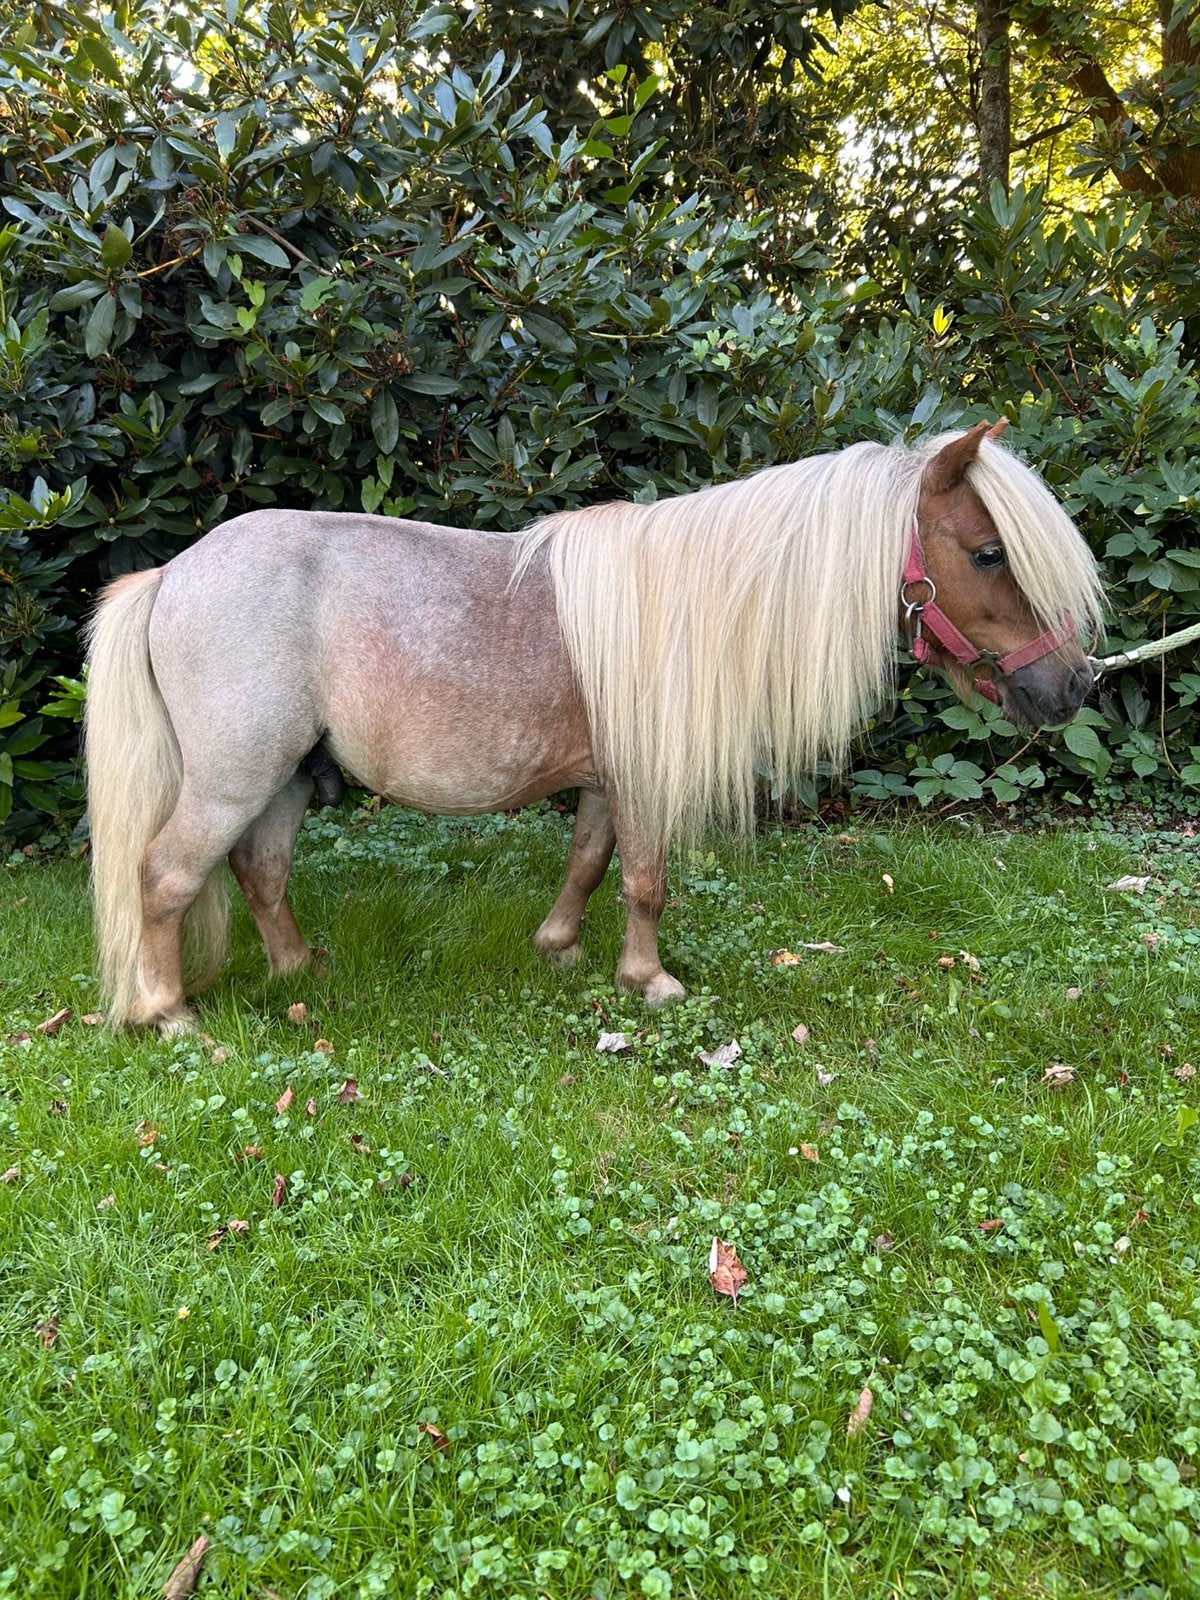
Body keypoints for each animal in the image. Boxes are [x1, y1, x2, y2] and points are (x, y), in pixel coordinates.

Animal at [84, 419, 1103, 1034]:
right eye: (987, 552)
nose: (1072, 687)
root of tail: (172, 575)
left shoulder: (610, 778)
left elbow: (588, 860)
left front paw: (562, 950)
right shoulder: (646, 779)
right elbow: (646, 881)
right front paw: (649, 982)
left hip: (288, 777)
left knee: (259, 872)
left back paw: (300, 972)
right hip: (234, 777)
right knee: (166, 876)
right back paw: (168, 1015)